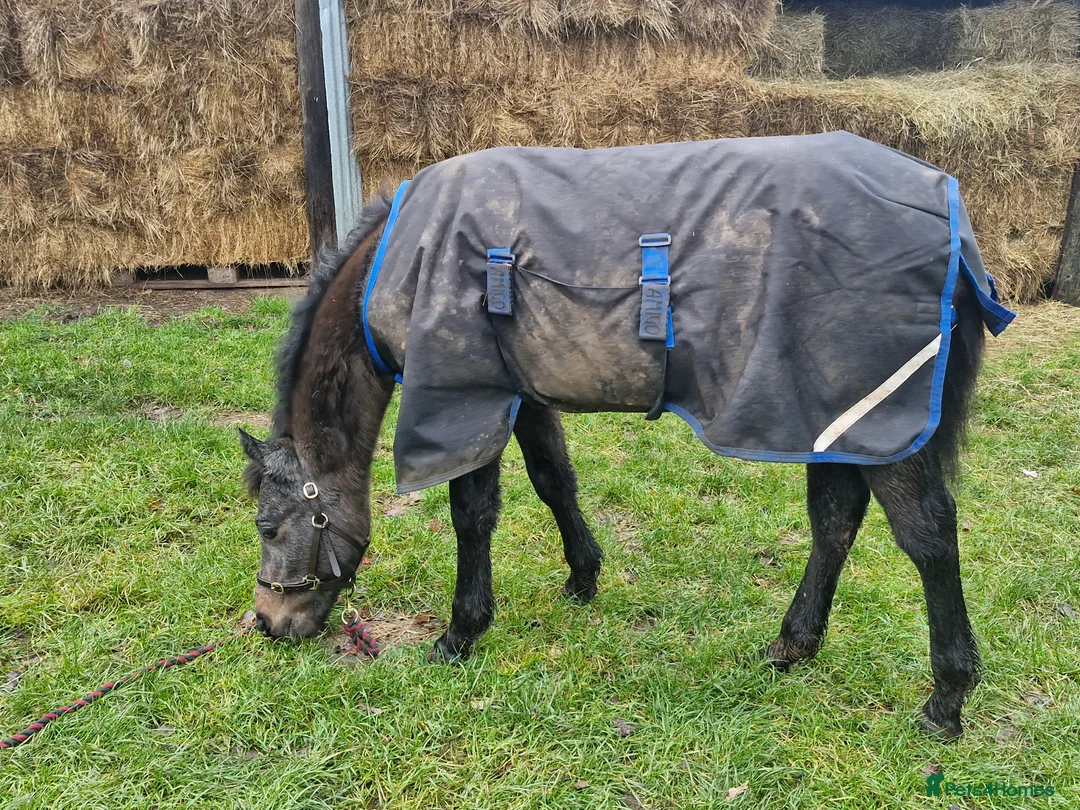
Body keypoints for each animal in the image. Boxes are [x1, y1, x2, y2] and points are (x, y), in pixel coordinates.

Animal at [239, 134, 1014, 739]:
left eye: (269, 527)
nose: (269, 624)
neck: (408, 257)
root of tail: (952, 222)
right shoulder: (523, 393)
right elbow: (554, 480)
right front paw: (583, 576)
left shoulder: (464, 402)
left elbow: (473, 517)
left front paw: (460, 632)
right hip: (833, 421)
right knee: (835, 521)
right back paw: (792, 646)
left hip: (883, 428)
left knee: (927, 536)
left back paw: (946, 699)